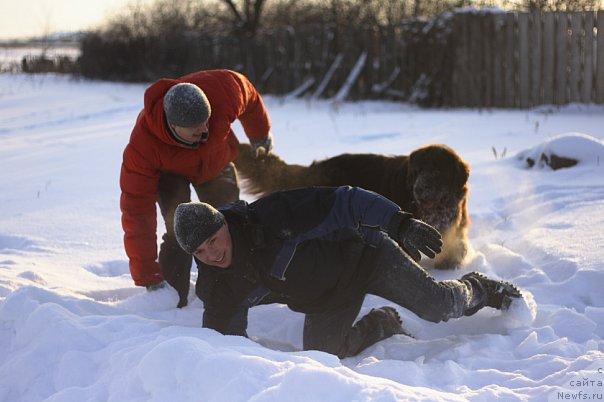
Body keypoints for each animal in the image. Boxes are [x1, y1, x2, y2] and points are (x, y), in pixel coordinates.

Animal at [234, 143, 470, 268]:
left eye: (436, 171)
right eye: (417, 171)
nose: (419, 189)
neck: (436, 209)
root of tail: (314, 169)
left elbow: (458, 246)